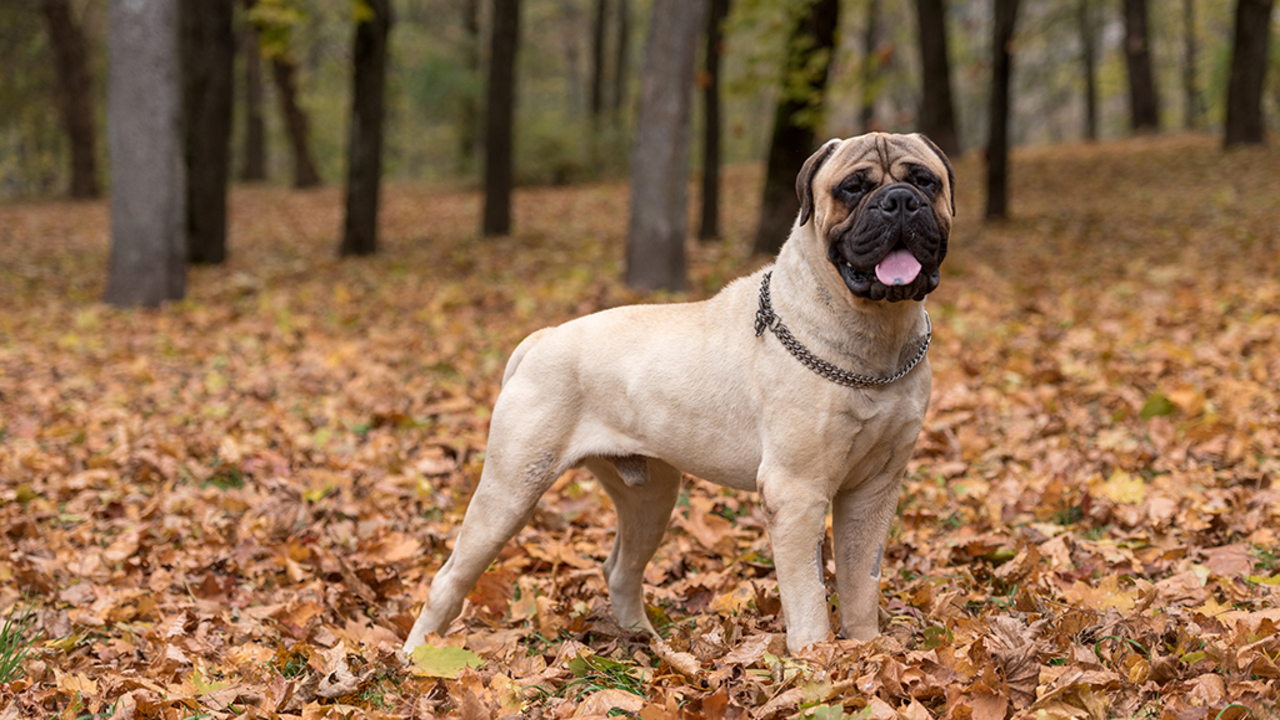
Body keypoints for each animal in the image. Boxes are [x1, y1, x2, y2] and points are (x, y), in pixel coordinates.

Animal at [404, 131, 957, 653]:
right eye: (853, 188)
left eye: (925, 181)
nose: (900, 201)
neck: (877, 339)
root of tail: (542, 338)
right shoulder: (797, 492)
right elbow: (808, 599)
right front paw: (816, 662)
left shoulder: (874, 490)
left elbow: (861, 585)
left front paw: (866, 654)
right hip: (510, 491)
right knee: (448, 579)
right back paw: (416, 656)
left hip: (650, 497)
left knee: (621, 570)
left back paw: (646, 644)